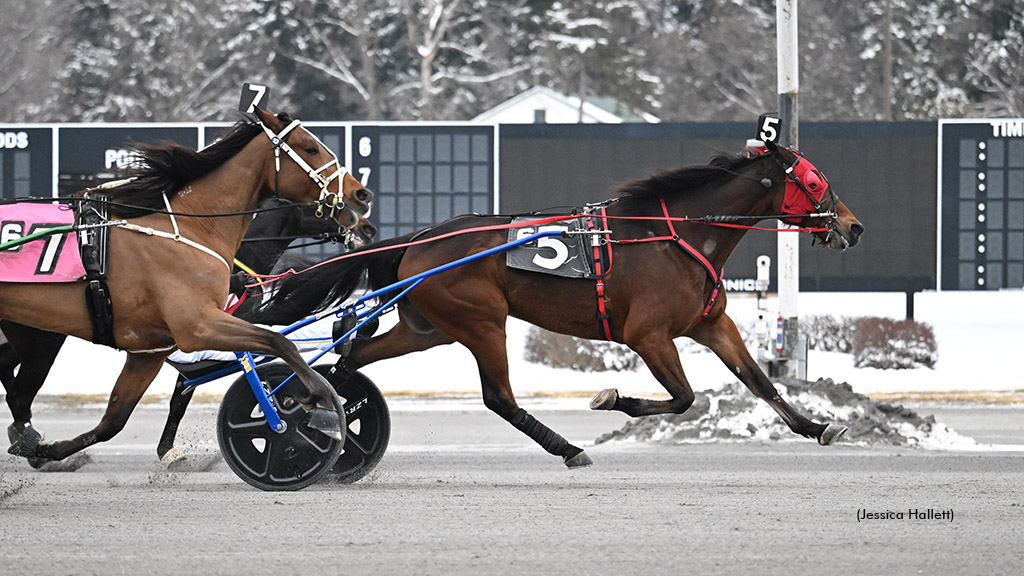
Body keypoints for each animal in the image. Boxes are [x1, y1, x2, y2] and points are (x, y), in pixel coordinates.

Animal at [0, 107, 368, 463]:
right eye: (310, 147)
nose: (361, 196)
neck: (190, 229)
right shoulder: (198, 328)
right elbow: (278, 342)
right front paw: (319, 405)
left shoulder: (149, 350)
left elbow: (113, 421)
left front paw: (47, 452)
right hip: (42, 337)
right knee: (19, 388)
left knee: (19, 390)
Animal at [251, 142, 860, 467]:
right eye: (813, 181)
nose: (852, 227)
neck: (675, 235)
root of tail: (416, 240)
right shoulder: (648, 334)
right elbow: (685, 397)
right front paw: (614, 398)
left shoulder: (712, 323)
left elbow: (760, 381)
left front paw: (817, 427)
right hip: (482, 320)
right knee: (498, 397)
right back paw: (566, 447)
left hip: (427, 327)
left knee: (353, 356)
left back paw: (312, 407)